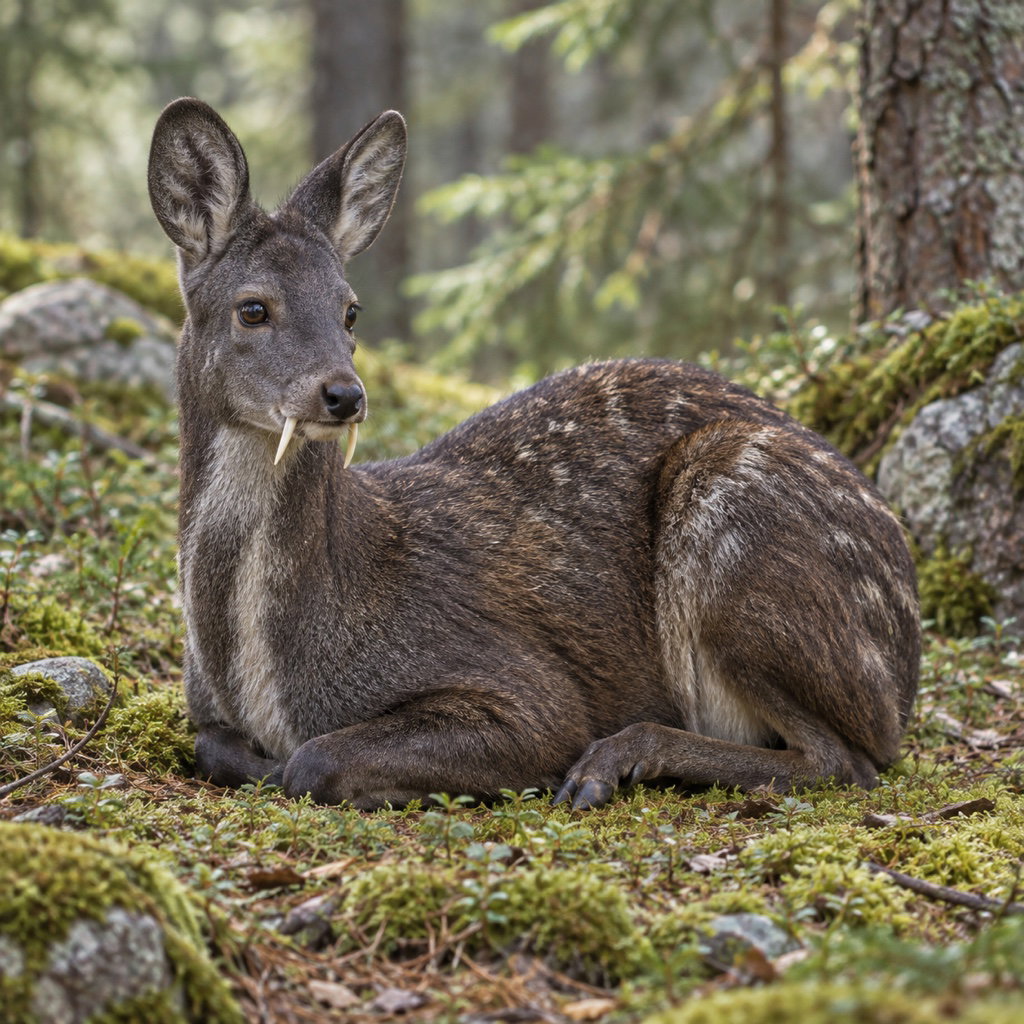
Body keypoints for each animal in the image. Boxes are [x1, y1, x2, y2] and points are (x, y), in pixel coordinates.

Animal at [147, 98, 921, 812]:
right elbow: (210, 743)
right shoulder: (204, 705)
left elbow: (313, 760)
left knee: (847, 758)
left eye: (351, 310)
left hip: (737, 505)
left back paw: (607, 762)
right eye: (253, 308)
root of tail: (907, 661)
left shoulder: (525, 688)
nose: (343, 395)